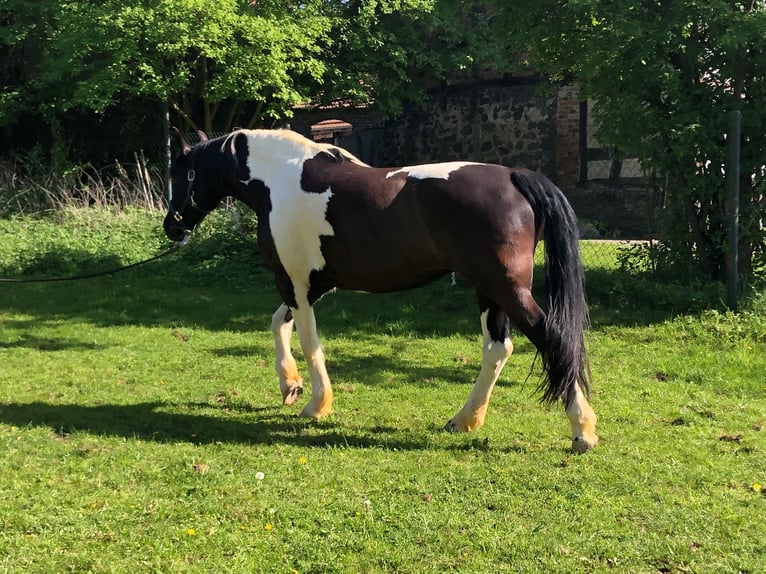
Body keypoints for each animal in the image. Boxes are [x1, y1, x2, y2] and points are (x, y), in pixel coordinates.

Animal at [163, 128, 598, 453]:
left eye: (178, 173)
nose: (171, 227)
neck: (279, 181)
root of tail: (514, 176)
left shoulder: (295, 283)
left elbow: (308, 342)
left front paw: (316, 404)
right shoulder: (314, 284)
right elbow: (278, 324)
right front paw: (290, 386)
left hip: (506, 289)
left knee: (553, 340)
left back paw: (582, 431)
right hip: (490, 291)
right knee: (497, 349)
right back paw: (464, 420)